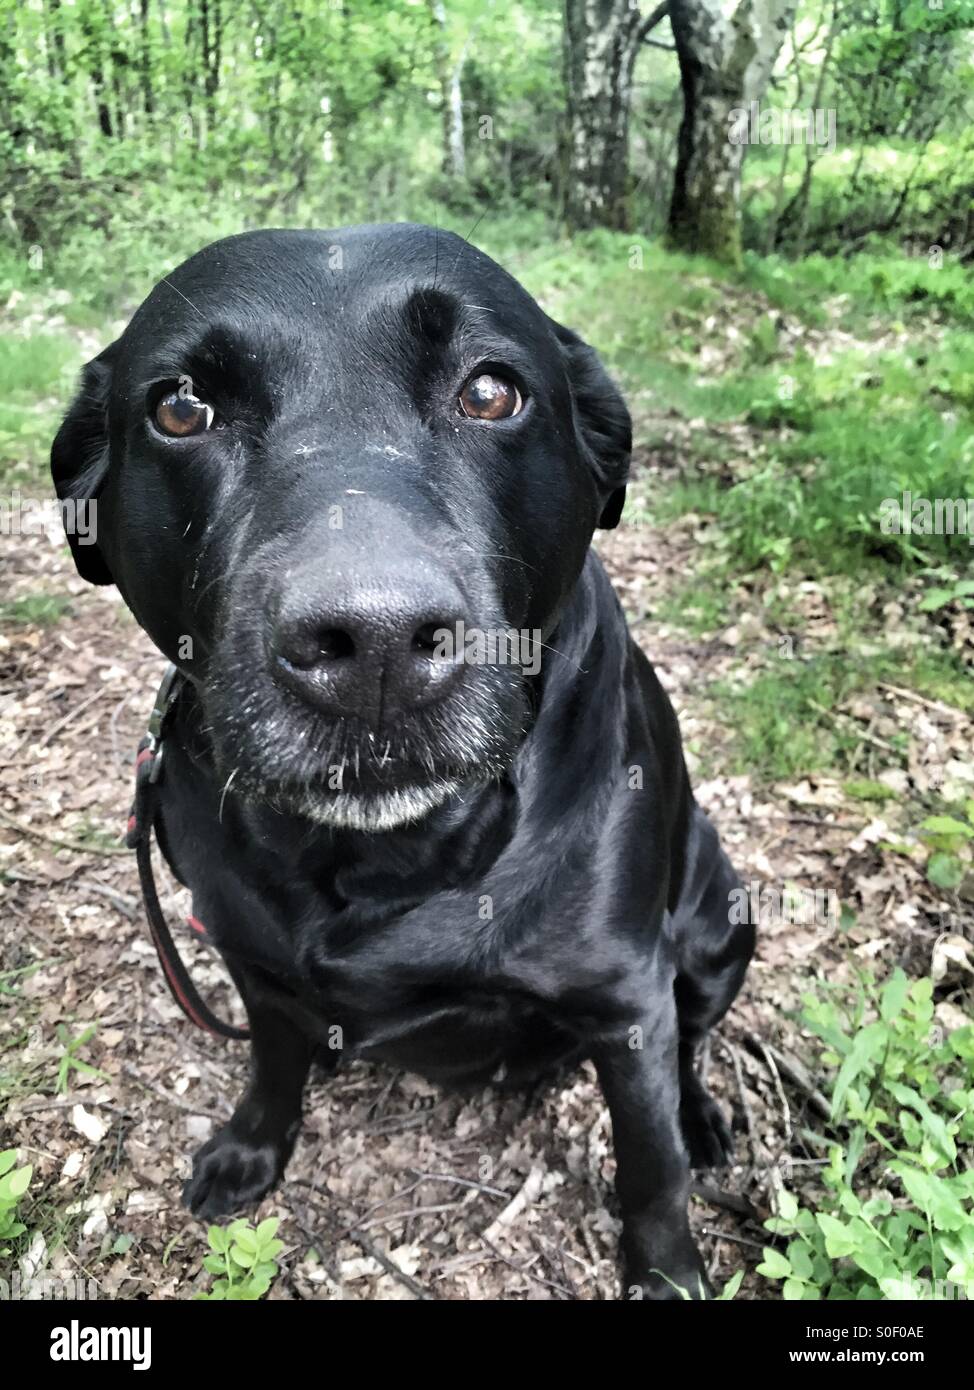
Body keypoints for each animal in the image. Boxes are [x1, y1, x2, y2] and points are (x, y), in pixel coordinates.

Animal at [51, 222, 750, 1295]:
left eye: (491, 392)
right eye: (181, 407)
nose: (373, 644)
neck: (382, 860)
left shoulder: (627, 996)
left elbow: (649, 1161)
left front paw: (665, 1268)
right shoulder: (252, 964)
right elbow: (271, 1065)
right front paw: (251, 1148)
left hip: (718, 920)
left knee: (696, 1043)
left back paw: (707, 1117)